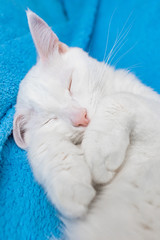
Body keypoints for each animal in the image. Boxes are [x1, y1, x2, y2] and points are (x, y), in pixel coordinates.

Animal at [13, 9, 160, 240]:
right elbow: (42, 146)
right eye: (51, 119)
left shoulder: (151, 109)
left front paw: (100, 153)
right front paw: (71, 185)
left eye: (70, 84)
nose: (80, 117)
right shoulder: (44, 141)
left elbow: (118, 100)